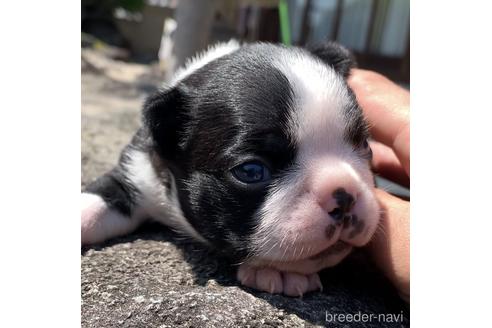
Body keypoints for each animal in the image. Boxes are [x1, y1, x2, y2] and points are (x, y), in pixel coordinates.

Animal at [81, 41, 380, 298]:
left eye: (365, 145)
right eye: (251, 171)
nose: (345, 193)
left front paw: (280, 271)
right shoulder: (136, 169)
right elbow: (99, 201)